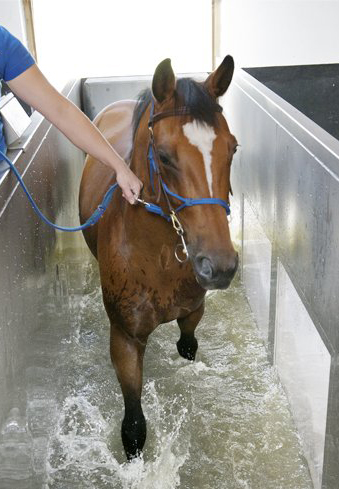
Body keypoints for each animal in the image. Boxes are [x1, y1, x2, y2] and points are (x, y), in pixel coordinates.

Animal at [79, 55, 239, 460]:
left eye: (232, 149)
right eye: (164, 156)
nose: (220, 266)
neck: (156, 257)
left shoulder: (193, 313)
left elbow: (187, 345)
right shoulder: (125, 339)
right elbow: (134, 428)